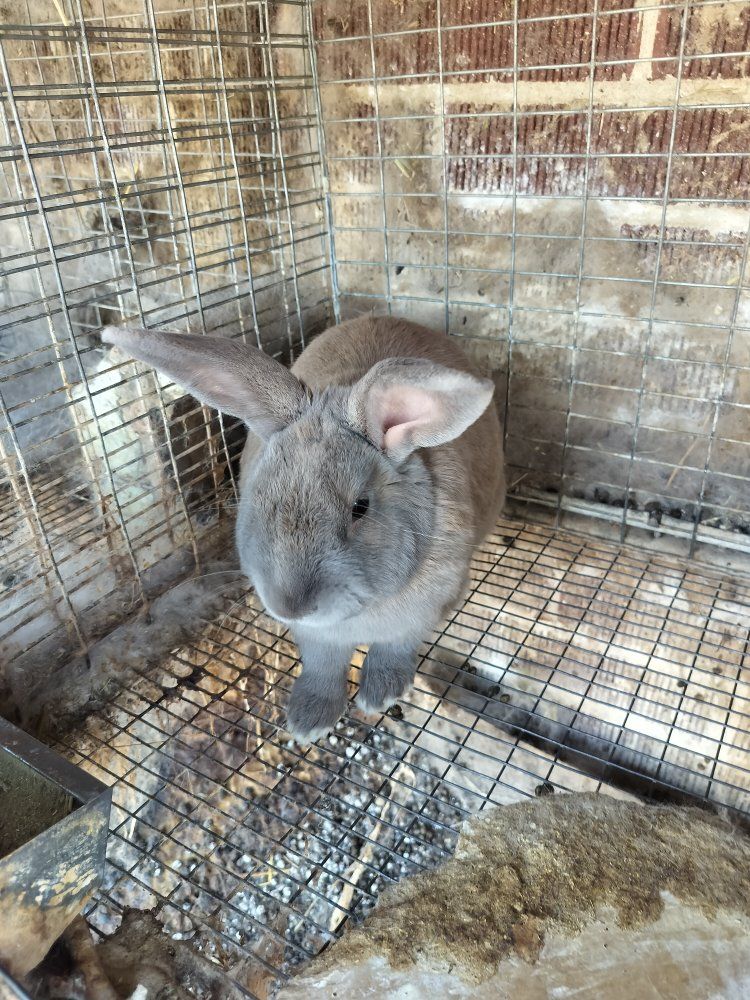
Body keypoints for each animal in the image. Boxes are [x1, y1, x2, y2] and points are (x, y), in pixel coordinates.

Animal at [101, 317, 505, 742]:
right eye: (260, 495)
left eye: (360, 508)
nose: (288, 606)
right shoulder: (316, 638)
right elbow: (322, 666)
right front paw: (309, 720)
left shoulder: (423, 613)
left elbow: (394, 648)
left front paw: (381, 695)